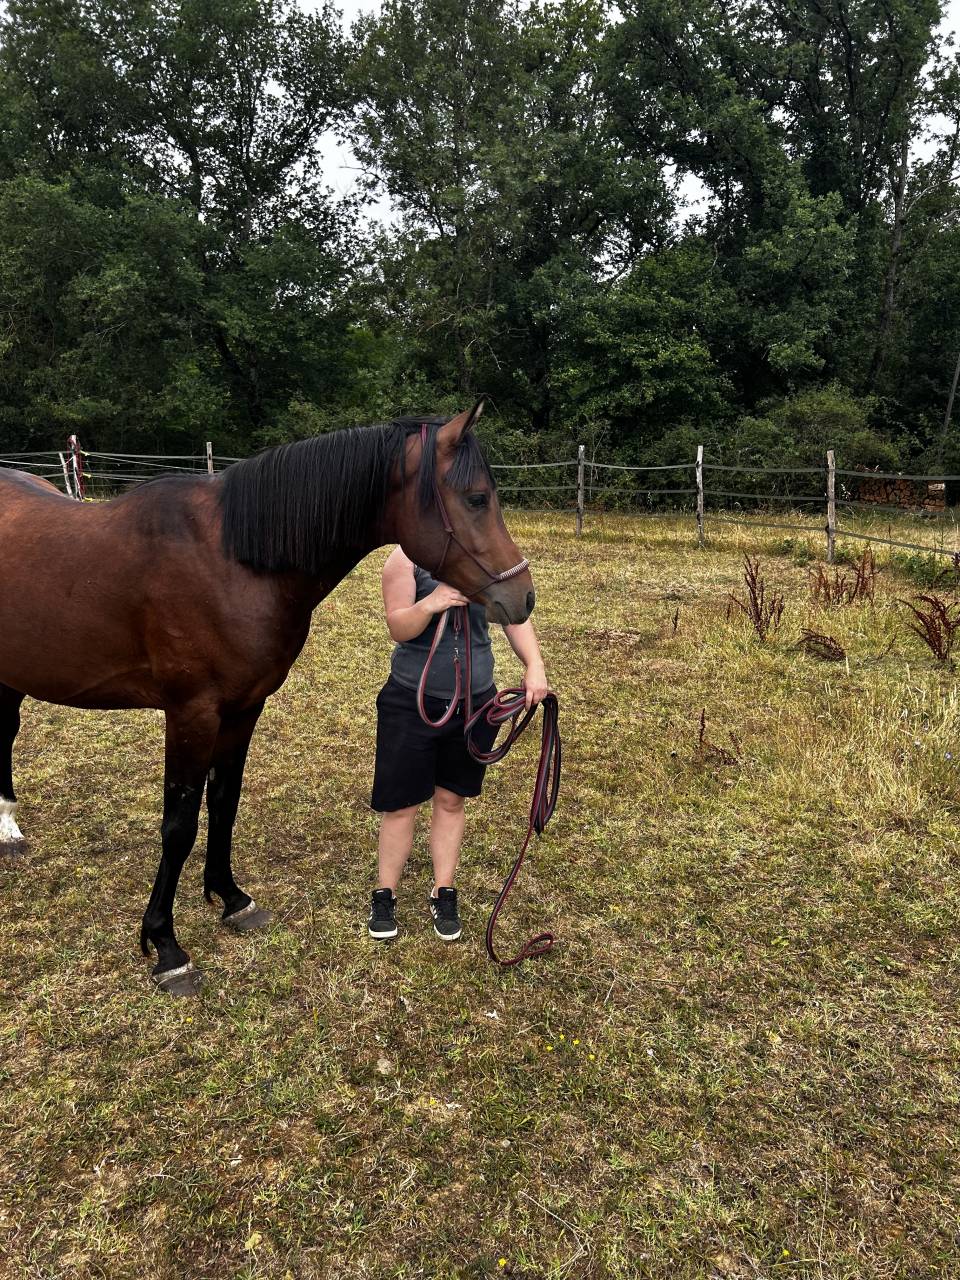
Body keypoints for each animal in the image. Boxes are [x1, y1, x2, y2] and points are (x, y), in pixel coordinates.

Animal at [0, 403, 535, 994]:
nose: (522, 597)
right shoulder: (191, 713)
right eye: (476, 498)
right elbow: (179, 825)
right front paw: (166, 946)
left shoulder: (242, 708)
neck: (231, 559)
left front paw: (232, 899)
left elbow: (224, 801)